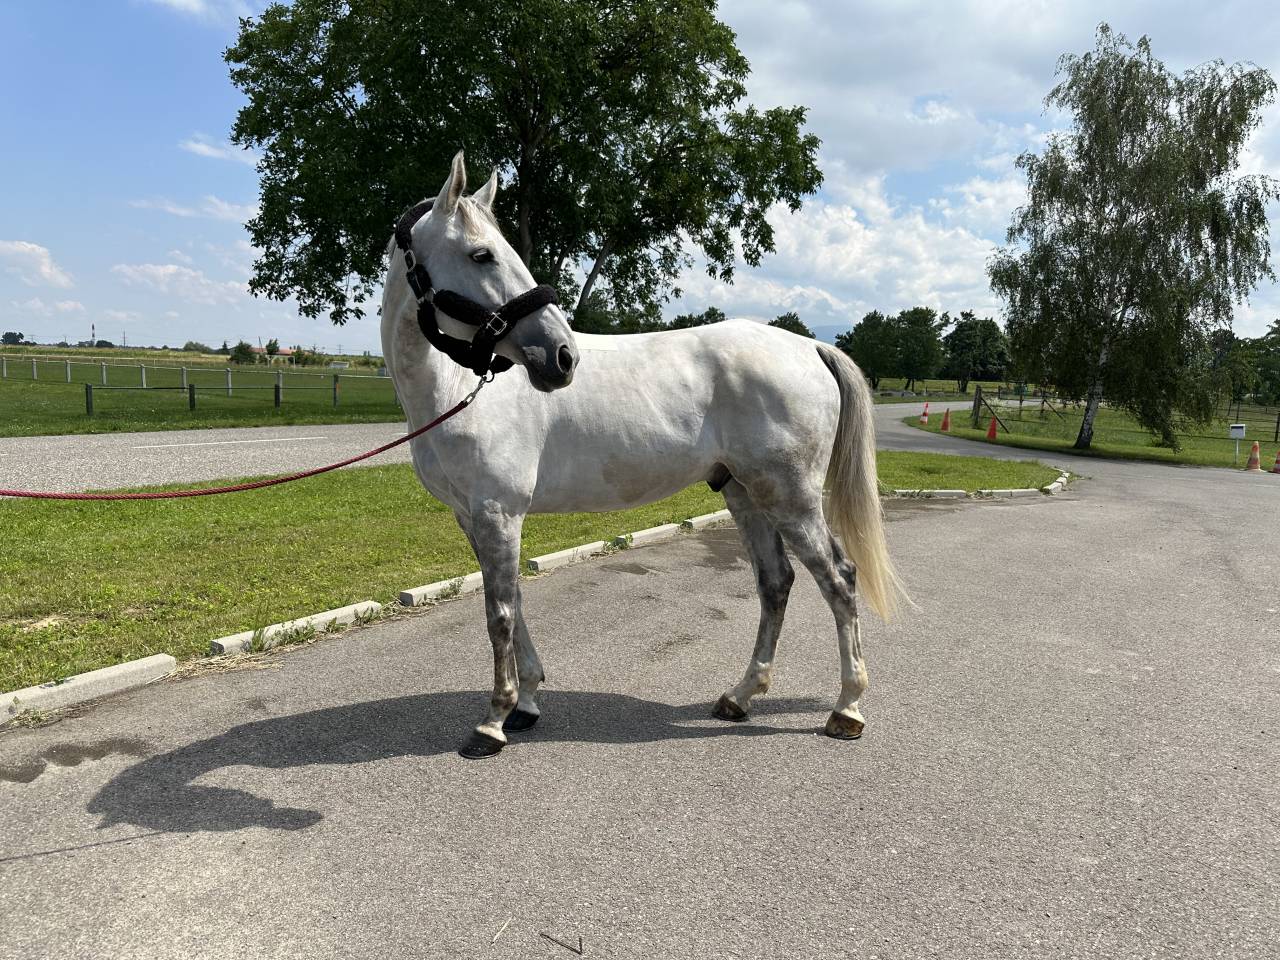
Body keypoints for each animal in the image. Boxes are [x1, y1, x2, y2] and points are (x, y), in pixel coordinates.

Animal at [381, 151, 905, 758]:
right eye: (481, 254)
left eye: (497, 250)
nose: (562, 356)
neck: (456, 389)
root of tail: (809, 346)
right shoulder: (474, 518)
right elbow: (514, 600)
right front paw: (527, 704)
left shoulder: (498, 513)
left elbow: (500, 615)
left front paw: (493, 720)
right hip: (745, 493)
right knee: (775, 584)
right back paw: (740, 697)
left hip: (791, 498)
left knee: (839, 581)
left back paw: (846, 708)